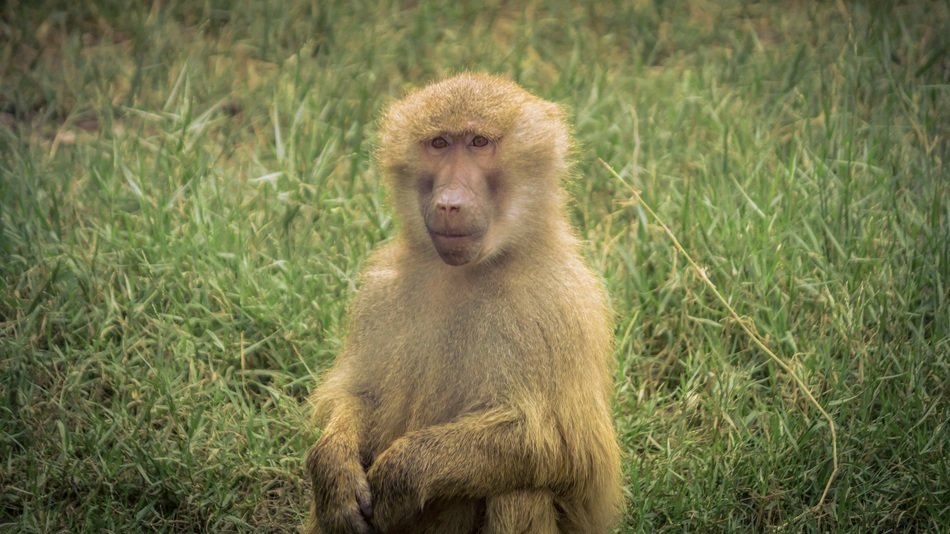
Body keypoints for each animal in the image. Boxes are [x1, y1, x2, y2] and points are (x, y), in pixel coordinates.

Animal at [305, 73, 622, 534]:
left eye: (479, 141)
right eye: (439, 143)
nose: (449, 203)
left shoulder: (556, 302)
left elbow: (561, 446)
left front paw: (398, 478)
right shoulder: (379, 291)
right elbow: (361, 395)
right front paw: (334, 471)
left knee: (518, 491)